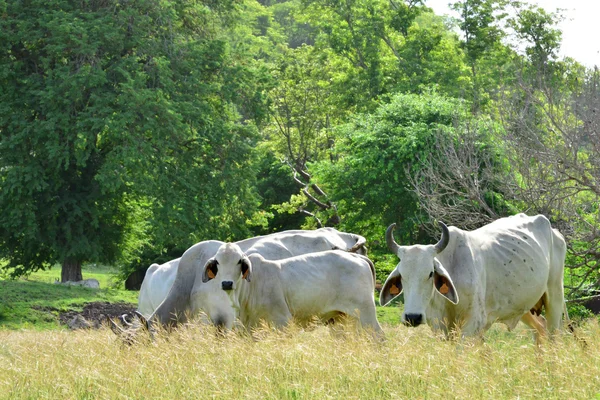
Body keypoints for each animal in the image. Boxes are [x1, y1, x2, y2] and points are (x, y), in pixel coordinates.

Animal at [202, 245, 384, 336]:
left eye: (239, 261)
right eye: (217, 262)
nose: (227, 283)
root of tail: (358, 257)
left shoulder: (282, 320)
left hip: (366, 314)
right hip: (342, 318)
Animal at [382, 214, 564, 342]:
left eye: (430, 273)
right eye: (402, 275)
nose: (413, 317)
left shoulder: (473, 323)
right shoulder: (440, 325)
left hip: (555, 296)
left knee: (553, 335)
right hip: (524, 306)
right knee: (540, 329)